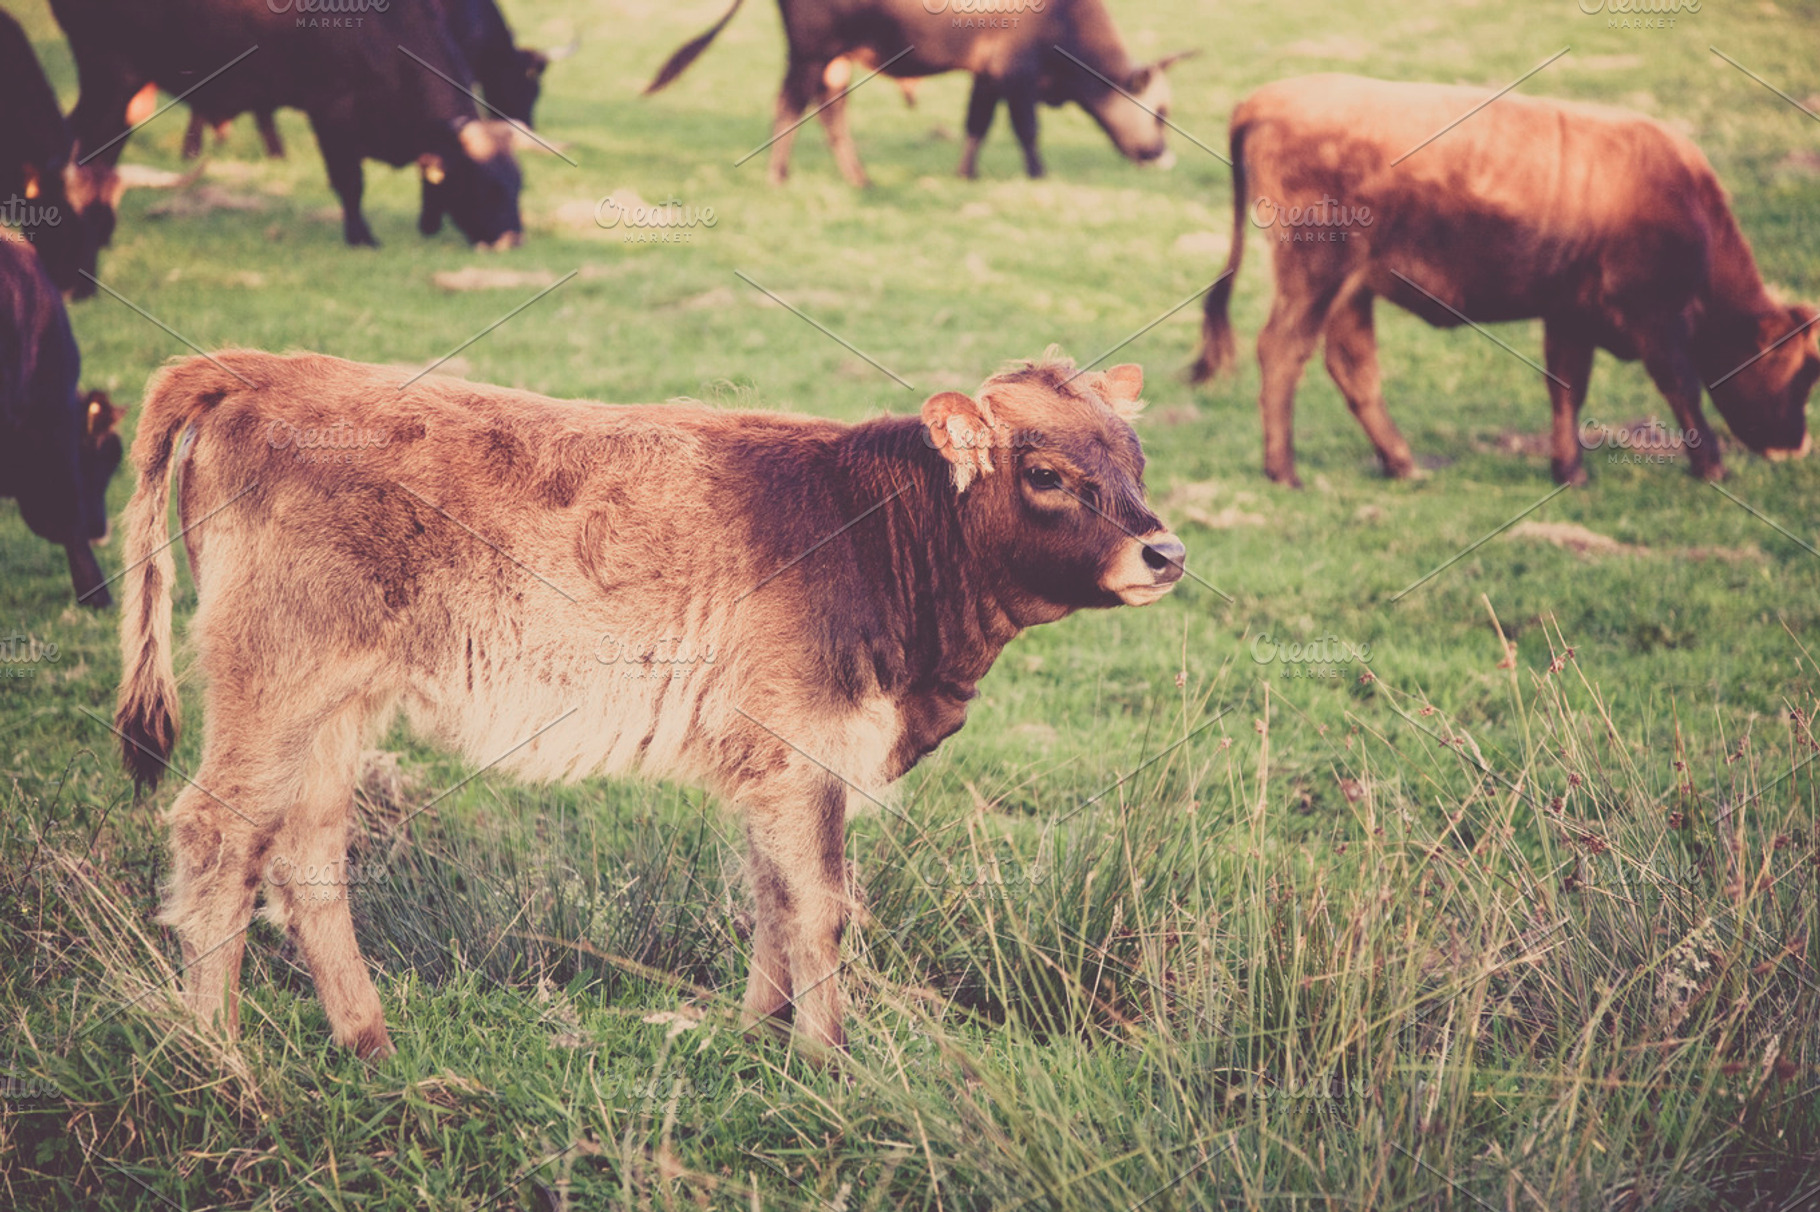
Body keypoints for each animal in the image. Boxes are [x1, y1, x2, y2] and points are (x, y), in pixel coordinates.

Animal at [49, 0, 527, 251]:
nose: (512, 238)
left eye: (518, 186)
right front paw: (361, 236)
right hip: (113, 76)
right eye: (487, 188)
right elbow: (350, 183)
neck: (386, 31)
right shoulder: (332, 112)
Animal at [113, 349, 1186, 1058]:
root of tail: (257, 367)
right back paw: (222, 1053)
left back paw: (367, 1039)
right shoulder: (806, 751)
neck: (874, 530)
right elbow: (823, 906)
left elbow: (774, 897)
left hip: (336, 707)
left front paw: (758, 1036)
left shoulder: (771, 761)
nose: (1166, 552)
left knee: (307, 855)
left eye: (1136, 460)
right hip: (274, 684)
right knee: (219, 835)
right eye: (1045, 473)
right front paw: (828, 1058)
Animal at [644, 0, 1192, 187]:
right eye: (1161, 112)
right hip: (811, 52)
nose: (1163, 156)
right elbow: (1026, 128)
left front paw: (966, 173)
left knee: (830, 111)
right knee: (791, 104)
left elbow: (977, 121)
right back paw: (779, 175)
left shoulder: (987, 72)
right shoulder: (1015, 70)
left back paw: (859, 179)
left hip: (836, 59)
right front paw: (1039, 175)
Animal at [1190, 74, 1820, 487]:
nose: (1795, 448)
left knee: (1351, 366)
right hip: (1315, 272)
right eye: (1802, 374)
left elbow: (1567, 386)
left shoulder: (1570, 312)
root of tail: (1268, 97)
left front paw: (1569, 471)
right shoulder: (1653, 317)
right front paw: (1711, 465)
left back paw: (1402, 463)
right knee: (1282, 351)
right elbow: (1681, 385)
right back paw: (1285, 471)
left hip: (1351, 286)